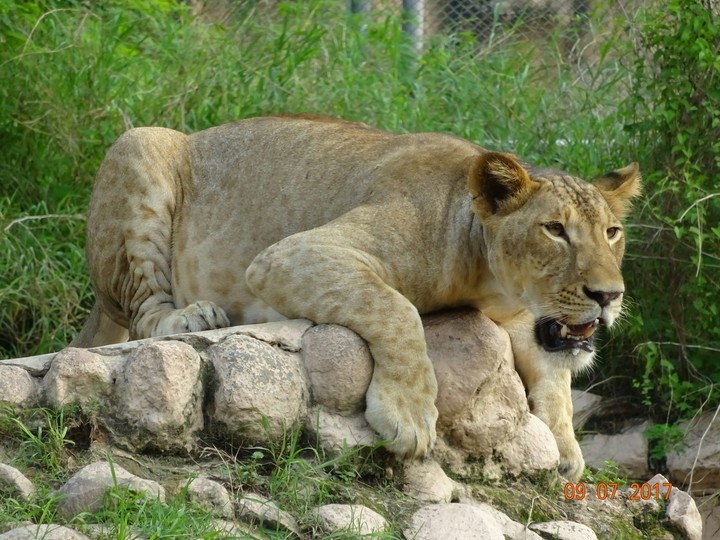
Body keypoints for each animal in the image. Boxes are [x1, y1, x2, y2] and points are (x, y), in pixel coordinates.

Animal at [71, 114, 640, 481]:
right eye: (554, 230)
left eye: (611, 232)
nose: (609, 295)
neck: (484, 277)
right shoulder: (290, 254)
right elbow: (397, 310)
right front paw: (409, 414)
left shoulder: (526, 315)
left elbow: (555, 377)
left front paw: (566, 447)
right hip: (138, 148)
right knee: (145, 314)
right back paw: (193, 317)